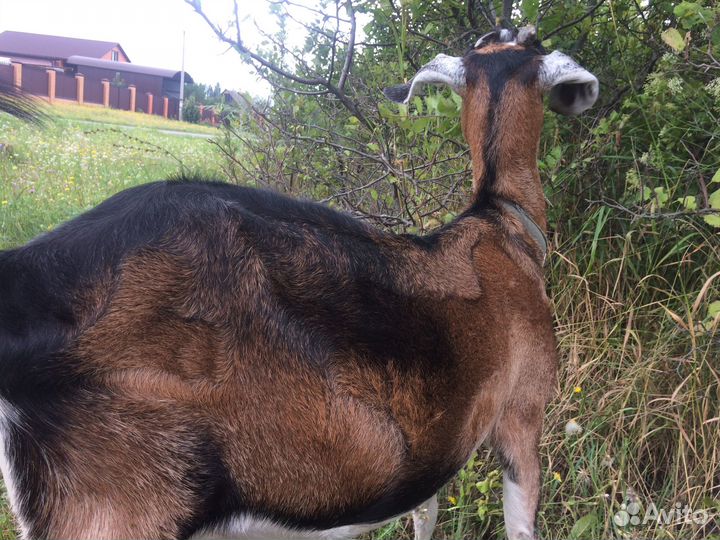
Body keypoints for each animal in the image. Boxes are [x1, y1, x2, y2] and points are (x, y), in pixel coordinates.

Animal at [0, 27, 598, 540]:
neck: (502, 223)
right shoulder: (523, 412)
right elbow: (520, 520)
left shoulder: (433, 450)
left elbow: (423, 514)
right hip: (118, 509)